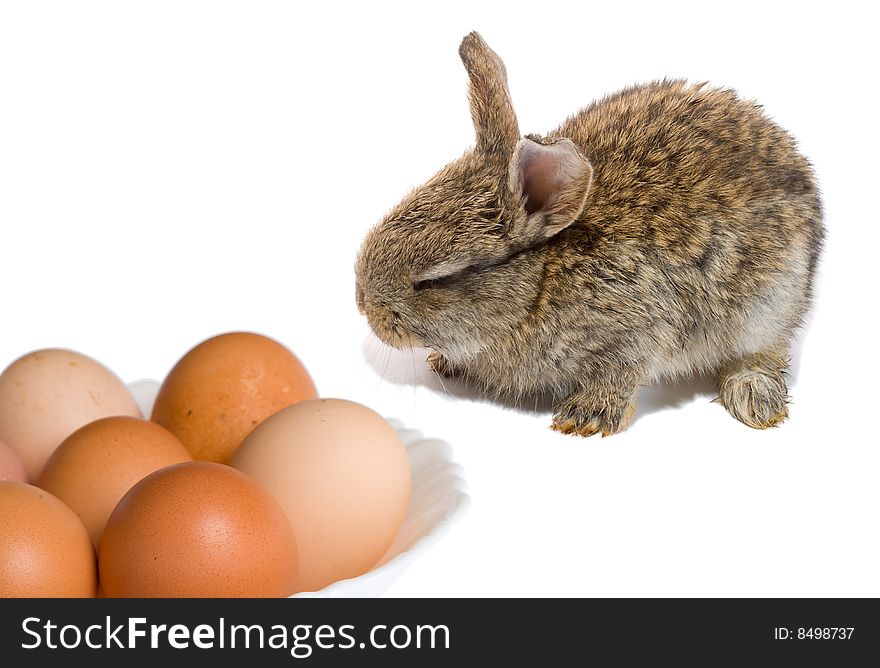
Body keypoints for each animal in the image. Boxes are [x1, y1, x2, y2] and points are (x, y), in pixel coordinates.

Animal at [354, 32, 820, 438]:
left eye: (433, 281)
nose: (363, 306)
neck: (539, 285)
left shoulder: (637, 328)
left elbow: (622, 371)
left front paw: (585, 417)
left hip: (769, 305)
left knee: (767, 350)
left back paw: (754, 395)